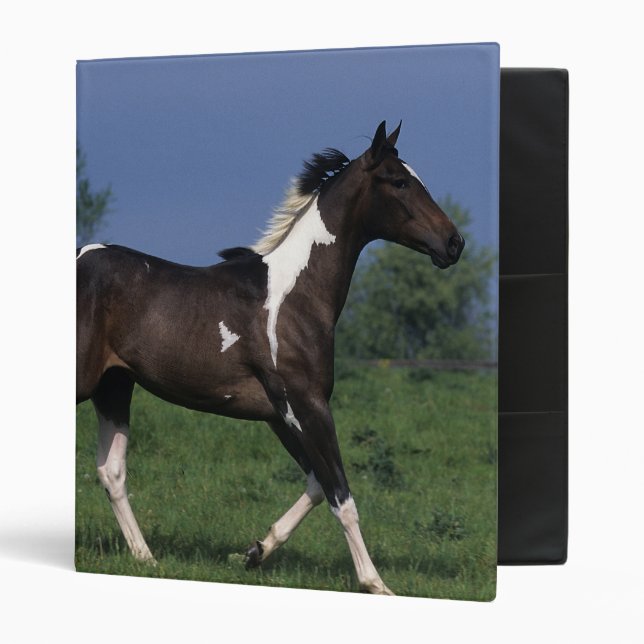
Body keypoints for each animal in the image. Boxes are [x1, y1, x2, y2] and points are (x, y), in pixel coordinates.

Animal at [76, 121, 464, 595]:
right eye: (399, 182)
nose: (454, 243)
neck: (296, 296)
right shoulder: (308, 405)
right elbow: (341, 495)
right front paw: (376, 583)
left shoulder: (279, 414)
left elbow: (316, 484)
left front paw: (255, 551)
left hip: (114, 387)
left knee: (111, 471)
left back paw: (146, 558)